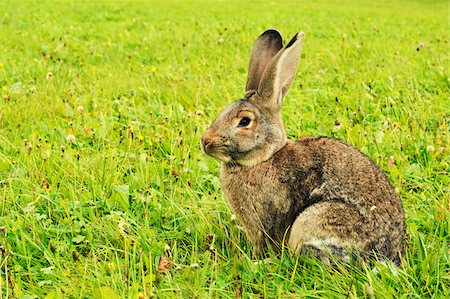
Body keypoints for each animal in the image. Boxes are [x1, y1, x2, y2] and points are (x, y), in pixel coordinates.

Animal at [200, 29, 404, 264]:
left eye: (244, 121)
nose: (205, 141)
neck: (263, 159)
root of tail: (387, 257)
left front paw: (257, 261)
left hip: (316, 219)